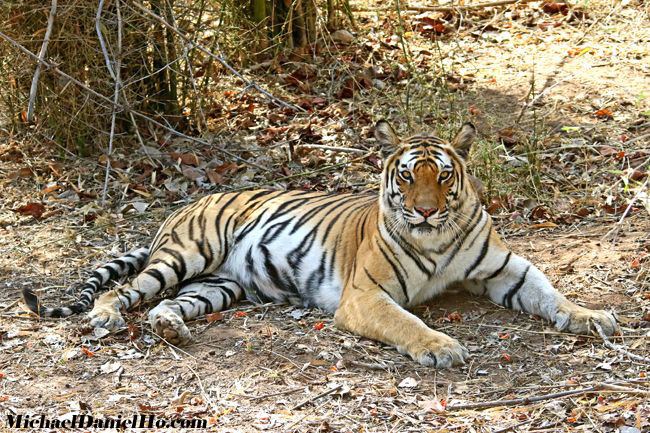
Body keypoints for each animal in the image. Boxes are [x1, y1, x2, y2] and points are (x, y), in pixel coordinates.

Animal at [21, 120, 616, 366]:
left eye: (444, 176)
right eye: (407, 176)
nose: (425, 210)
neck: (437, 236)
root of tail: (183, 206)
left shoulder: (505, 268)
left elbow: (550, 293)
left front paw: (591, 316)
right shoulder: (367, 295)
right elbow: (408, 322)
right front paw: (441, 347)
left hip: (217, 286)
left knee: (166, 305)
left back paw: (170, 328)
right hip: (186, 254)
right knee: (125, 291)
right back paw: (104, 316)